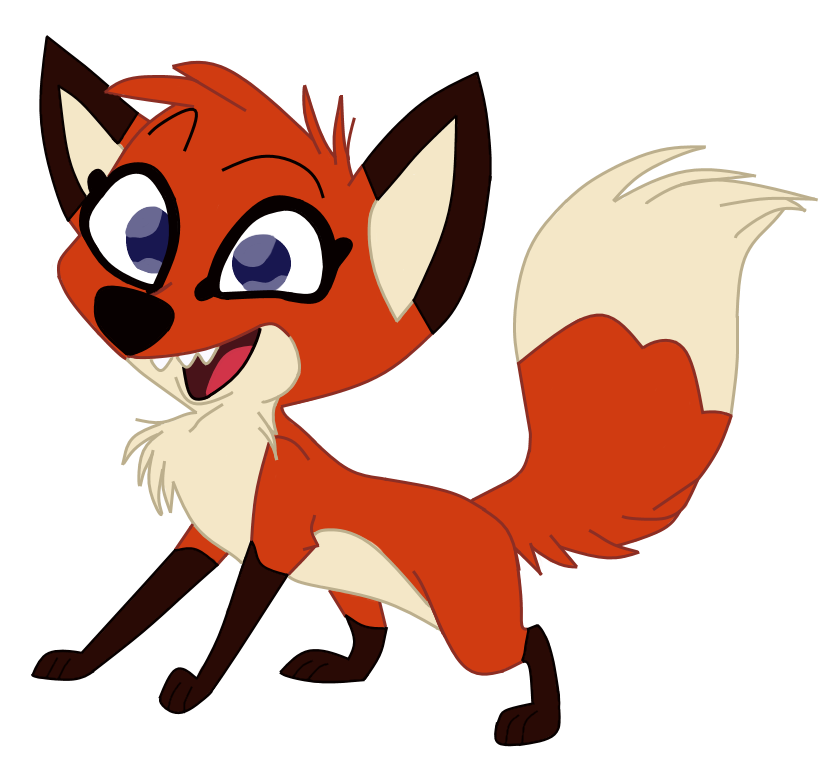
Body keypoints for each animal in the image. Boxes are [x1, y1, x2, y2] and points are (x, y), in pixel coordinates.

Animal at [33, 40, 816, 745]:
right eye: (139, 235)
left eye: (266, 262)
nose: (133, 316)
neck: (224, 438)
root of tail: (488, 515)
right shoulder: (204, 542)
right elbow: (137, 610)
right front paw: (82, 661)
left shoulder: (273, 543)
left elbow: (228, 630)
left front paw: (196, 690)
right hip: (353, 591)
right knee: (375, 635)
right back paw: (342, 670)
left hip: (472, 629)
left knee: (531, 637)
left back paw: (535, 720)